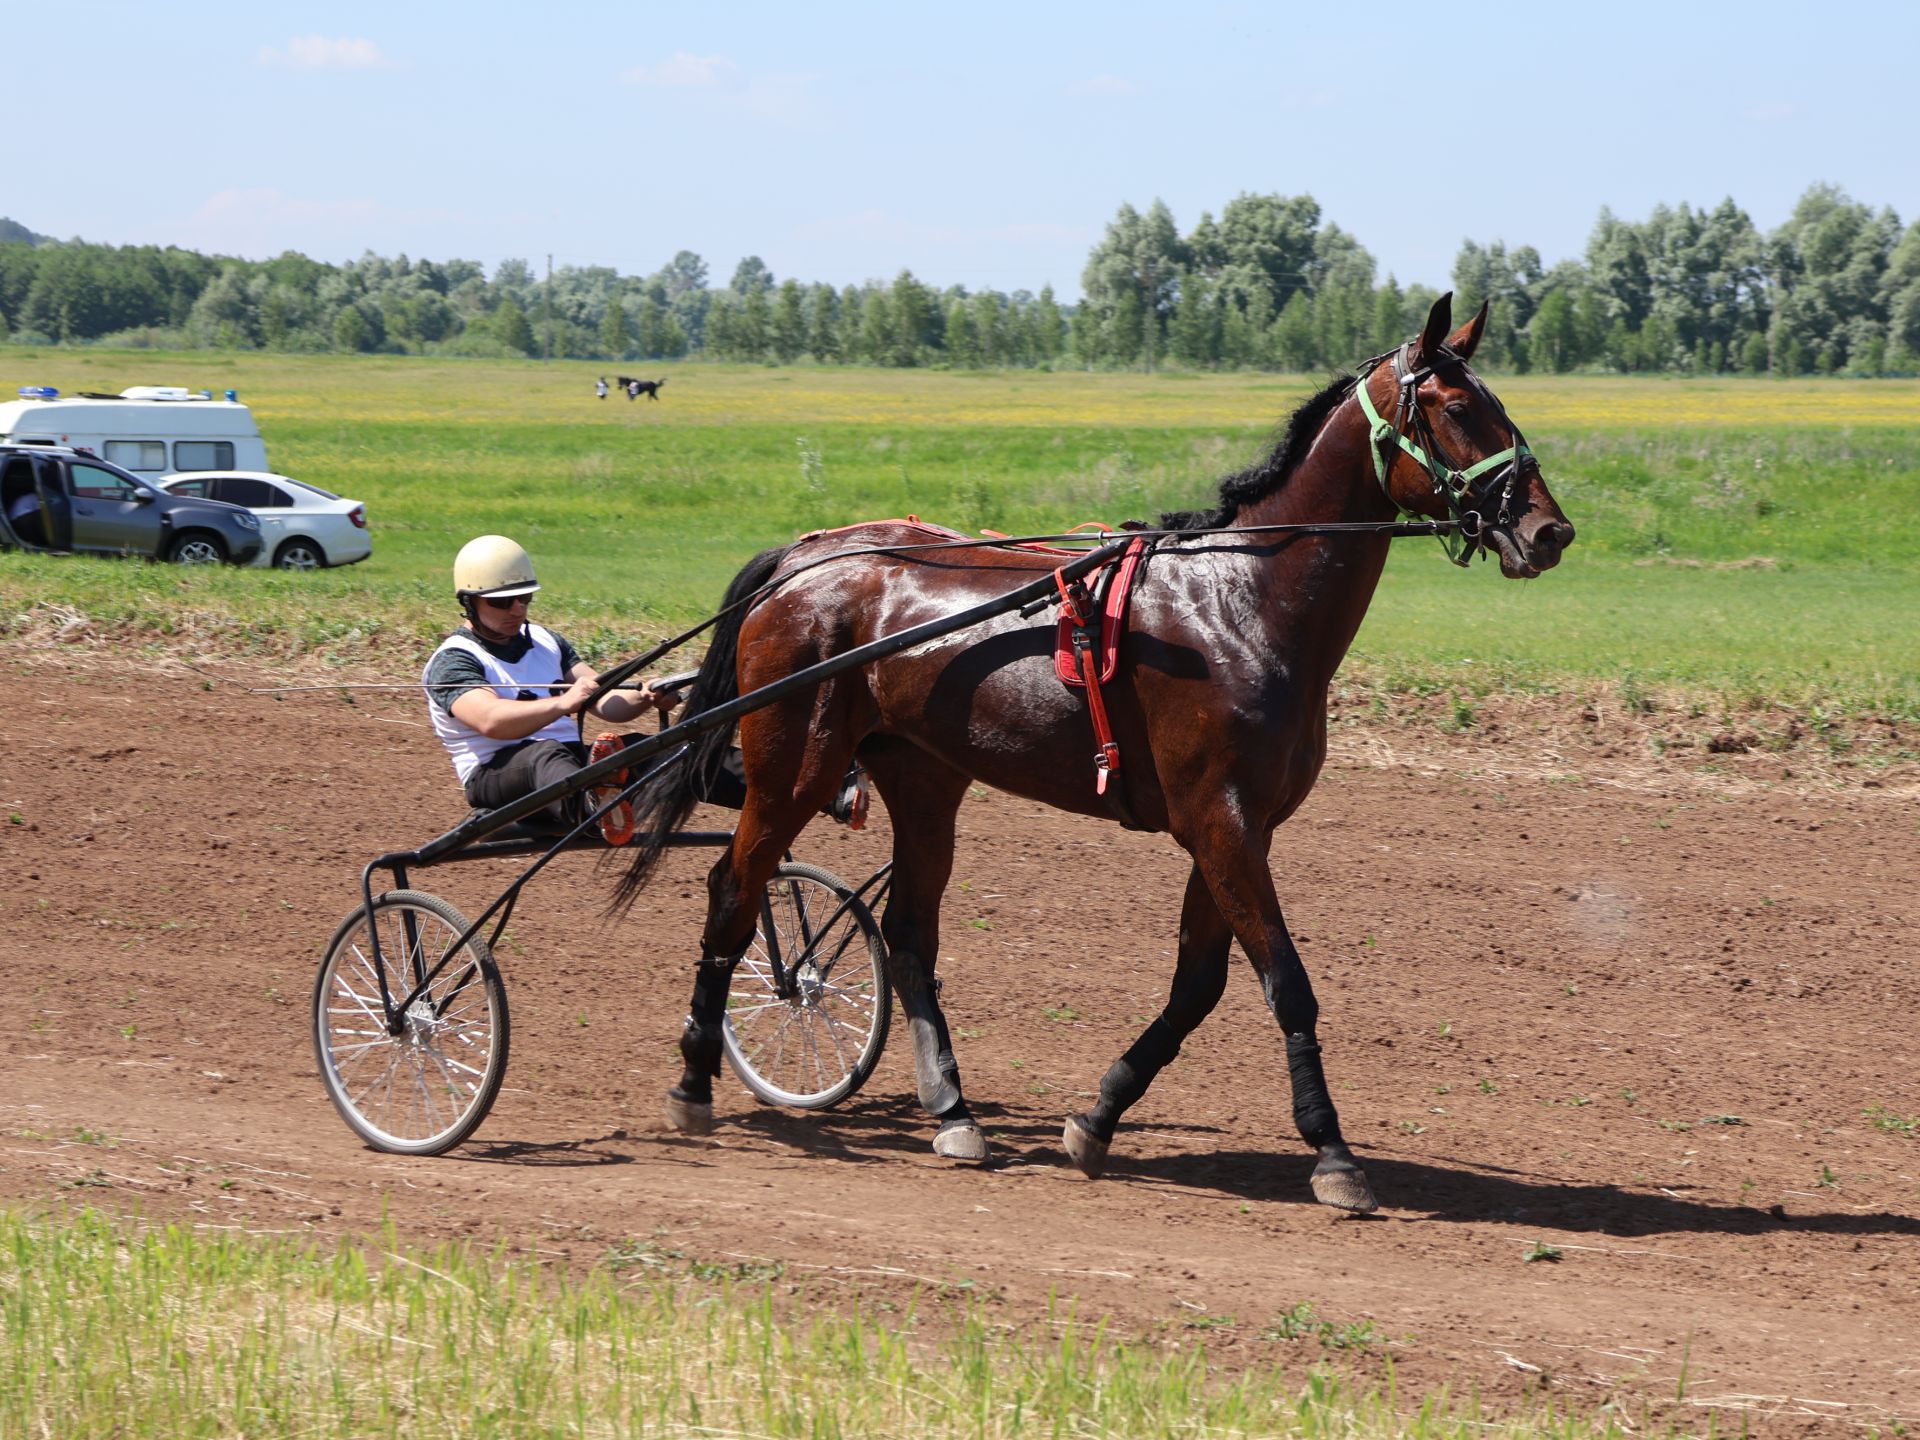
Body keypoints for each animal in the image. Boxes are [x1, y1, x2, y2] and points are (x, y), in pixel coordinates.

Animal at [622, 295, 1566, 1221]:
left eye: (1499, 403)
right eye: (1455, 408)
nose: (1549, 529)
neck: (1244, 604)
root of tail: (807, 557)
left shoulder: (1238, 828)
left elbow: (1198, 987)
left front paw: (1099, 1117)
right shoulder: (1219, 821)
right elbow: (1285, 982)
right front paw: (1333, 1154)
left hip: (923, 777)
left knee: (909, 936)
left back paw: (953, 1112)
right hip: (793, 767)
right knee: (735, 892)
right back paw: (696, 1080)